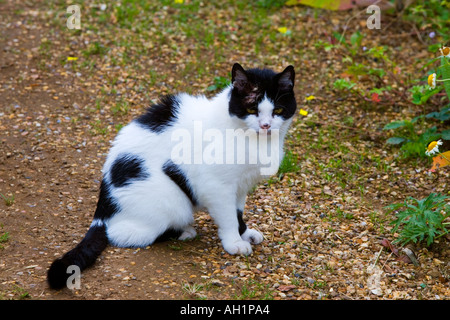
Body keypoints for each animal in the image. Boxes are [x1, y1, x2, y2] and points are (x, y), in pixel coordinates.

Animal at [47, 63, 298, 290]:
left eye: (277, 111)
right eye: (251, 108)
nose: (265, 126)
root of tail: (102, 208)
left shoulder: (240, 186)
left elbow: (238, 213)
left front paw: (244, 234)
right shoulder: (216, 185)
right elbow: (228, 217)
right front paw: (234, 242)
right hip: (171, 198)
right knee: (124, 233)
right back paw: (183, 231)